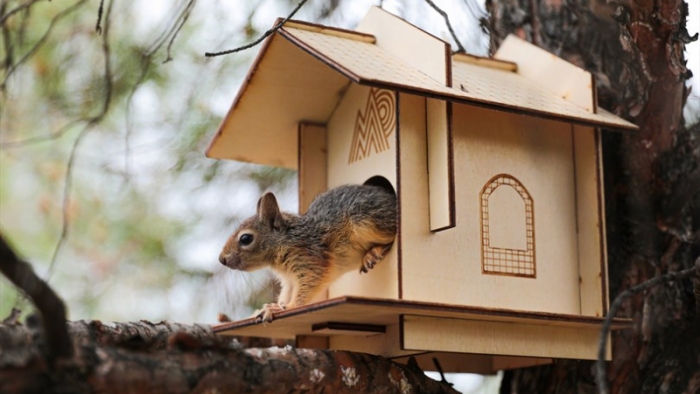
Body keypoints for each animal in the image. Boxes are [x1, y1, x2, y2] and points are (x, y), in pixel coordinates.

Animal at [219, 183, 396, 322]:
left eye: (246, 238)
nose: (222, 260)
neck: (284, 241)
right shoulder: (289, 279)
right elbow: (287, 293)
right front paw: (271, 307)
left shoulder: (310, 259)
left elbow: (307, 286)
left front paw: (287, 307)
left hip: (367, 221)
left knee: (393, 236)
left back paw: (374, 252)